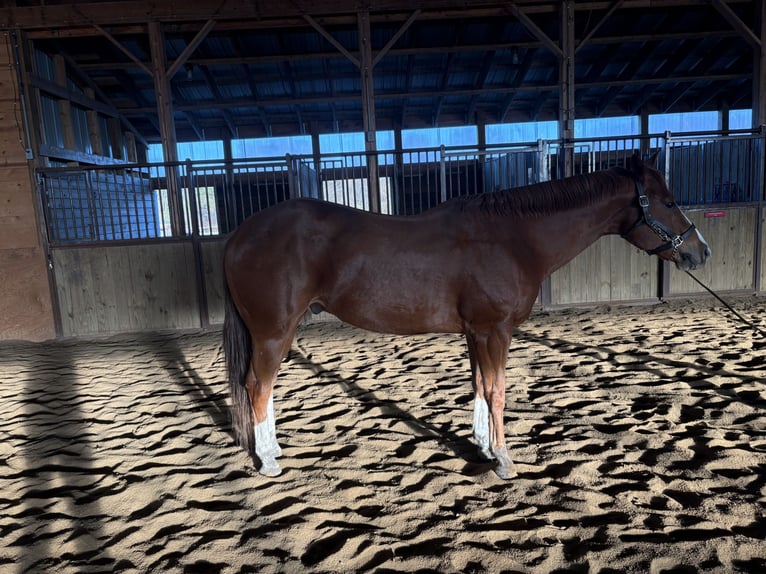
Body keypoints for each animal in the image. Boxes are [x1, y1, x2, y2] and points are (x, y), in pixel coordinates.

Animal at [222, 153, 710, 479]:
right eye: (667, 202)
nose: (700, 251)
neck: (513, 238)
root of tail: (240, 234)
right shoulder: (495, 331)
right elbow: (497, 392)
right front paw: (505, 460)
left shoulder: (476, 332)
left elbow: (478, 386)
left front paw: (483, 449)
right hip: (273, 331)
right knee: (257, 387)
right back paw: (269, 461)